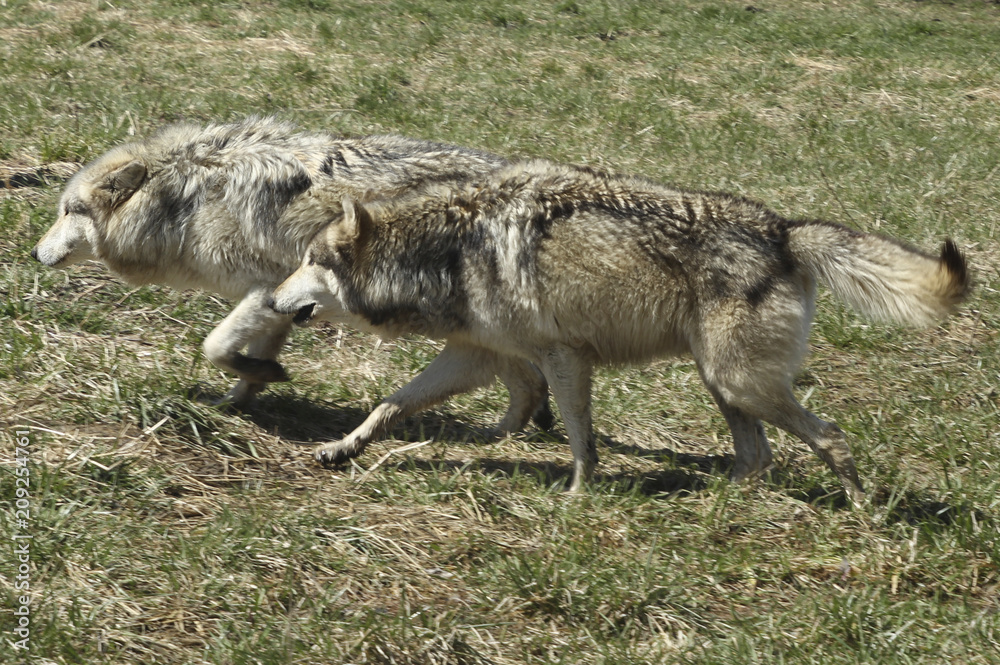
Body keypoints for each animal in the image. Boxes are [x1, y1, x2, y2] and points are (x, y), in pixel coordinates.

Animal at [31, 117, 552, 432]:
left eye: (67, 211)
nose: (34, 253)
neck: (186, 199)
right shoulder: (280, 303)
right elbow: (245, 360)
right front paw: (240, 398)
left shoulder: (264, 289)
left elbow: (213, 345)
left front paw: (266, 376)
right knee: (529, 381)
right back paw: (508, 434)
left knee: (528, 378)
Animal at [269, 159, 969, 504]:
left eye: (309, 261)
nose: (273, 301)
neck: (444, 250)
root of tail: (784, 232)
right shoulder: (472, 355)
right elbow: (389, 405)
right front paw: (342, 448)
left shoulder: (563, 357)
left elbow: (581, 441)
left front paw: (578, 497)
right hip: (723, 384)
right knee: (758, 456)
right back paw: (709, 499)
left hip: (740, 383)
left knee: (831, 437)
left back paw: (864, 514)